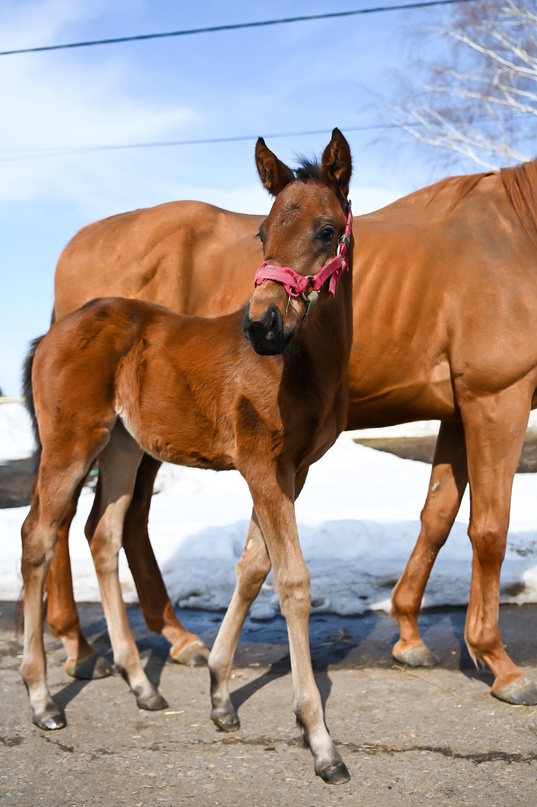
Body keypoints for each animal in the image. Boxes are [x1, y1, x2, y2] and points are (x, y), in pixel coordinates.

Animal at [21, 129, 354, 784]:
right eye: (262, 233)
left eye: (327, 230)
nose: (262, 326)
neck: (301, 361)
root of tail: (51, 334)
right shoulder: (261, 465)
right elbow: (292, 580)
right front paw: (320, 741)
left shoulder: (293, 471)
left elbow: (252, 568)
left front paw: (221, 696)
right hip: (72, 444)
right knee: (40, 536)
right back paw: (44, 701)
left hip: (121, 448)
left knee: (101, 533)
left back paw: (141, 686)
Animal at [48, 152, 536, 708]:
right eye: (261, 234)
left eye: (328, 231)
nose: (261, 325)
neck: (517, 230)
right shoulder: (497, 397)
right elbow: (489, 530)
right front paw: (499, 661)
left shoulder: (458, 410)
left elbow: (437, 517)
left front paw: (410, 634)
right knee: (65, 522)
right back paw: (81, 648)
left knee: (114, 524)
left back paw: (172, 639)